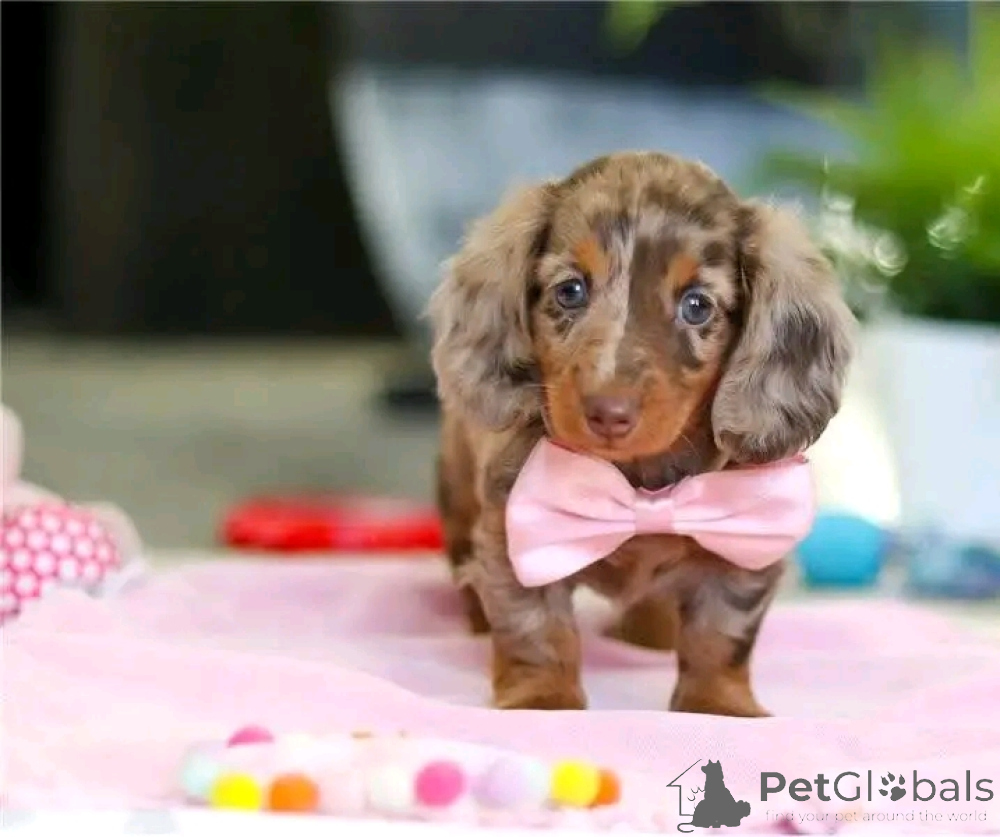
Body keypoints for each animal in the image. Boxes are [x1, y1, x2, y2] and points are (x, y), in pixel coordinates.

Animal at [428, 152, 854, 715]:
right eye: (571, 290)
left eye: (697, 305)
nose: (608, 413)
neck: (640, 483)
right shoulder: (512, 530)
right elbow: (535, 626)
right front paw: (542, 700)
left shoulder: (744, 547)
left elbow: (720, 633)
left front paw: (719, 705)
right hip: (457, 497)